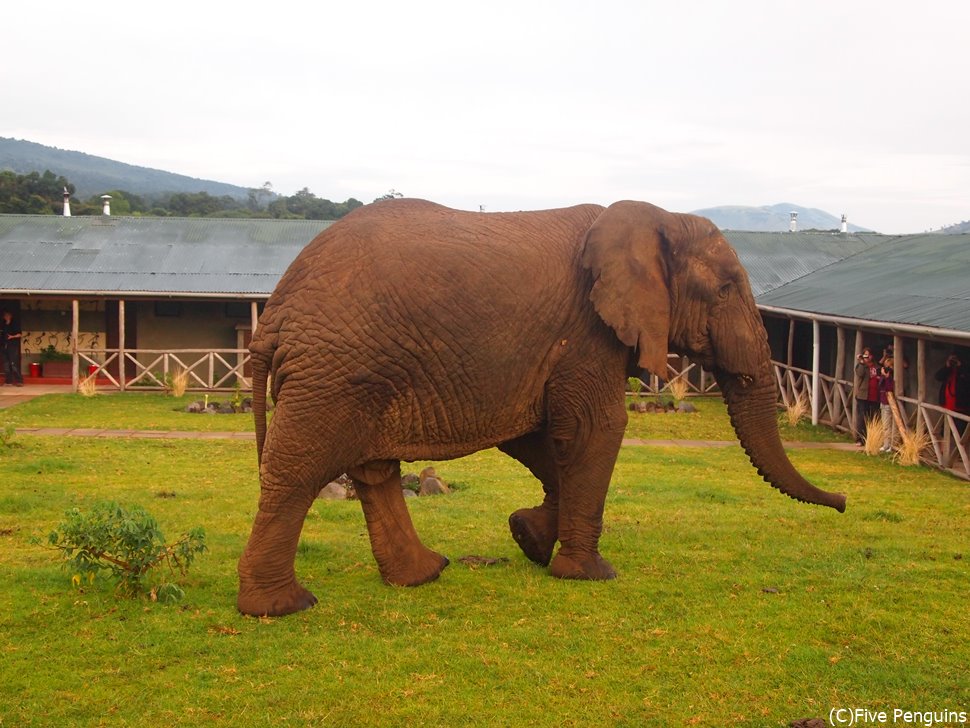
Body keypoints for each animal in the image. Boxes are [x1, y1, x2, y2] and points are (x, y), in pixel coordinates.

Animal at [238, 198, 844, 616]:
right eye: (724, 290)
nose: (842, 503)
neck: (653, 217)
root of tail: (275, 310)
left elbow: (540, 437)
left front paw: (527, 538)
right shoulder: (588, 331)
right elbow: (595, 428)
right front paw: (591, 575)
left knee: (372, 471)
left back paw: (423, 576)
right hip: (333, 370)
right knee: (300, 471)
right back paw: (282, 608)